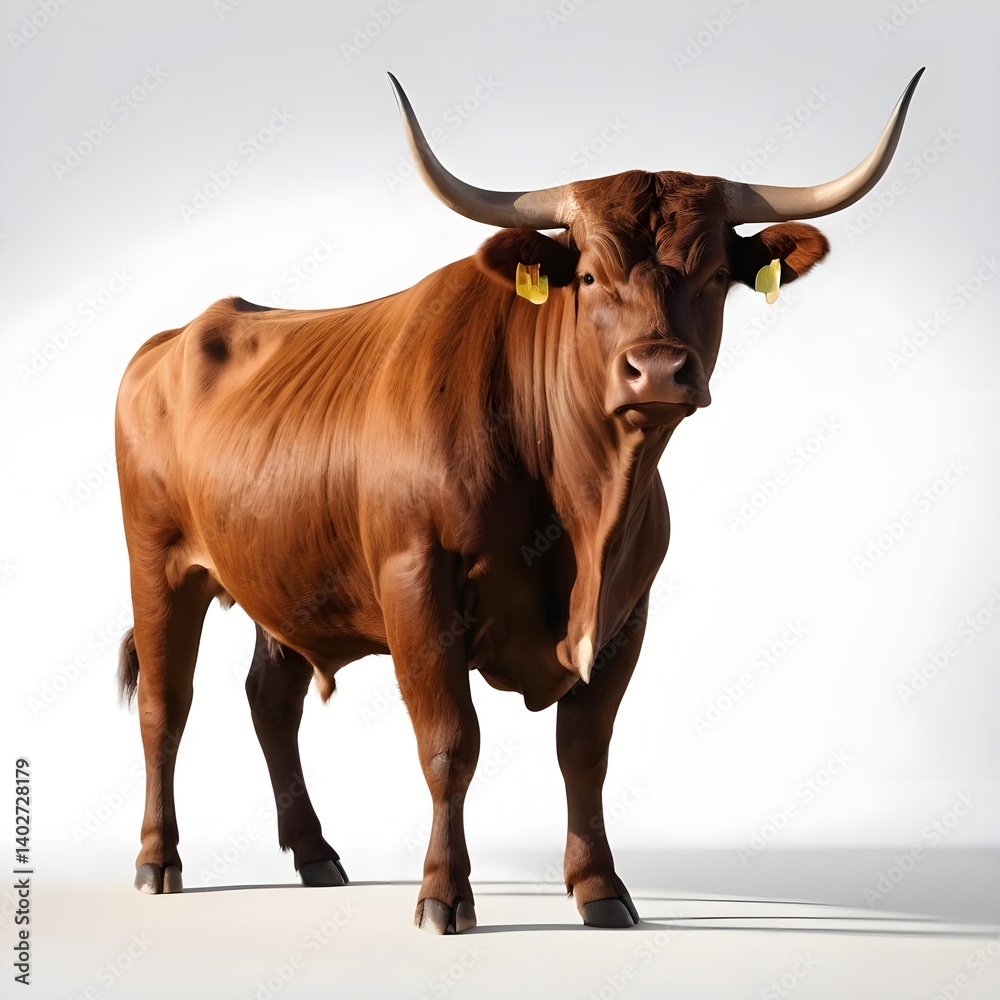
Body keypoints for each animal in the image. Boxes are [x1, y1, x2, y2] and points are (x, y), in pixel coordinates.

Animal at [115, 69, 923, 933]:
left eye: (714, 277)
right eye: (591, 275)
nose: (658, 369)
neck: (586, 511)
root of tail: (177, 335)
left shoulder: (627, 609)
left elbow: (586, 750)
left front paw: (600, 888)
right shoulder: (416, 586)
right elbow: (449, 744)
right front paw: (443, 894)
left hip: (285, 576)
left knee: (271, 699)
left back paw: (315, 855)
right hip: (158, 564)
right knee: (165, 704)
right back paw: (157, 860)